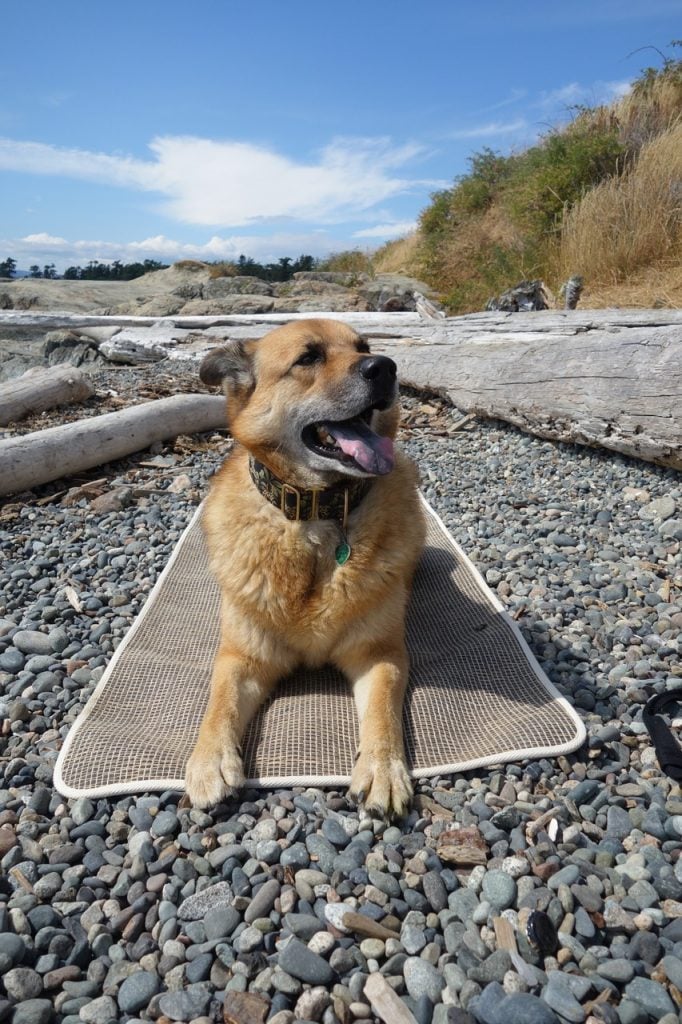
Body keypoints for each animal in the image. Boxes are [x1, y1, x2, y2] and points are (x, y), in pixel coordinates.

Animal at [183, 317, 421, 815]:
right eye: (308, 358)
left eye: (363, 346)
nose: (385, 367)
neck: (316, 514)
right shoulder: (242, 657)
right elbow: (220, 701)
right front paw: (209, 760)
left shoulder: (379, 653)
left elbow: (383, 710)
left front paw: (383, 768)